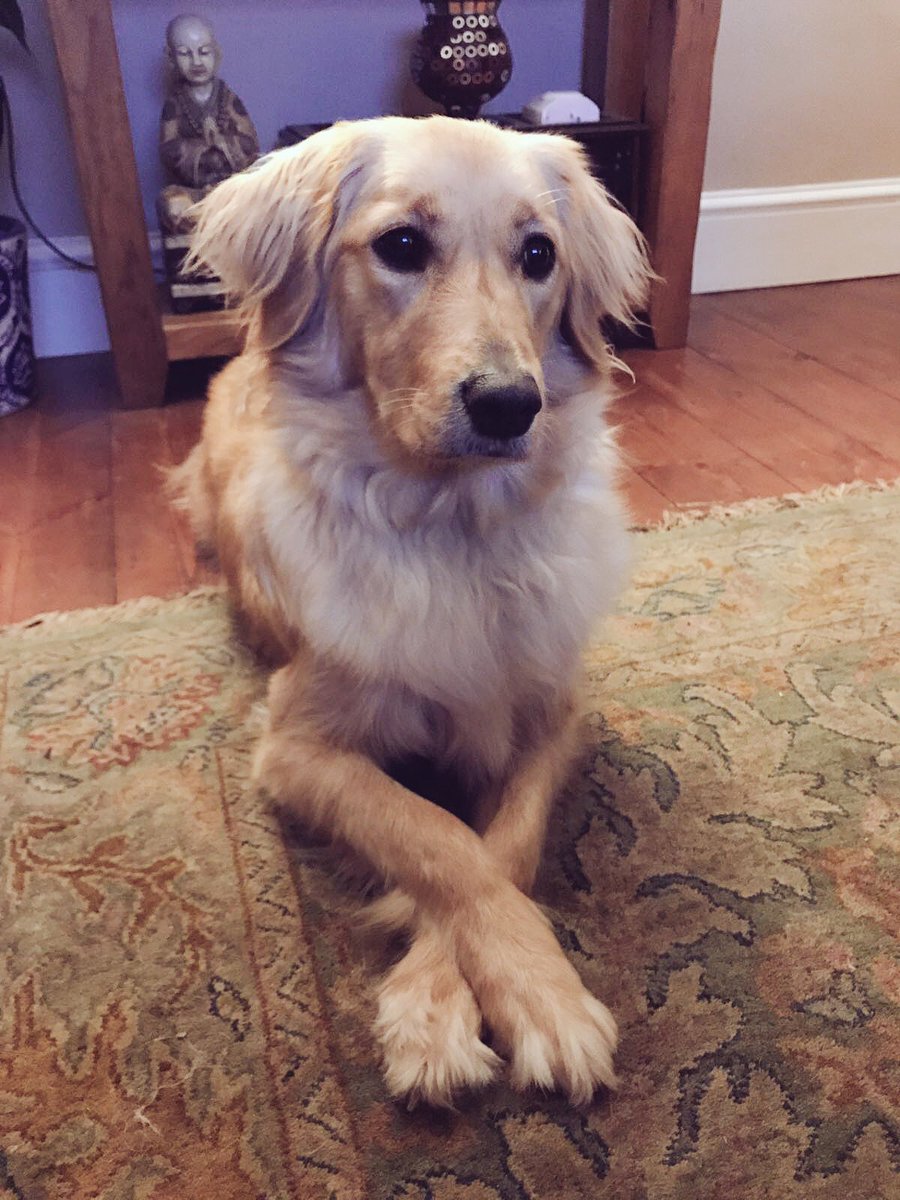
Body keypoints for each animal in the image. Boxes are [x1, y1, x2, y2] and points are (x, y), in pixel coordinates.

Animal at [170, 114, 648, 1104]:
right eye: (400, 246)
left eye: (538, 254)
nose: (510, 405)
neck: (453, 528)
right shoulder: (297, 748)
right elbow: (434, 838)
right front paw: (497, 1004)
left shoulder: (555, 715)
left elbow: (506, 842)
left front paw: (468, 994)